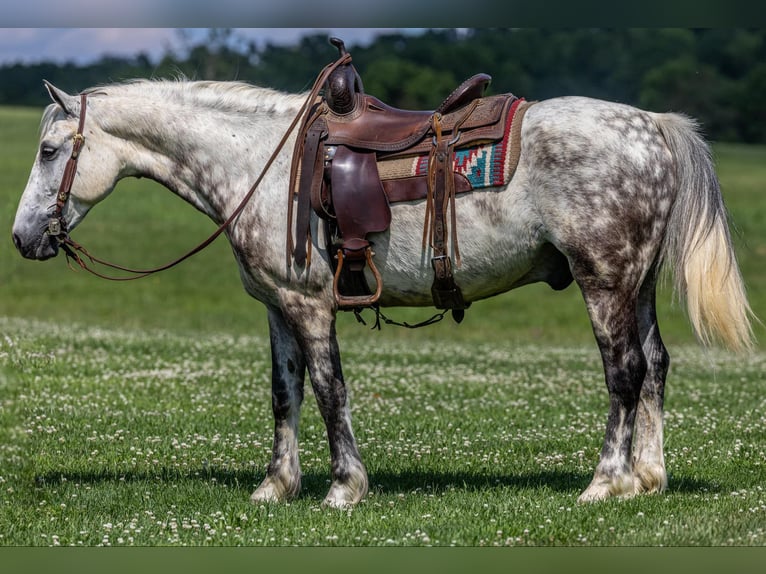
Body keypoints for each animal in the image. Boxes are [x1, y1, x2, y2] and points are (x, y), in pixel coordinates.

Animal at [10, 75, 756, 508]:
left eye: (49, 152)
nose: (22, 238)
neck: (256, 161)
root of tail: (653, 125)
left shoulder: (311, 306)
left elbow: (328, 389)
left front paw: (344, 487)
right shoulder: (277, 307)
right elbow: (284, 393)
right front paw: (276, 485)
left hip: (605, 280)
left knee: (623, 373)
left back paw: (606, 482)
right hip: (637, 284)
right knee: (655, 365)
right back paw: (649, 478)